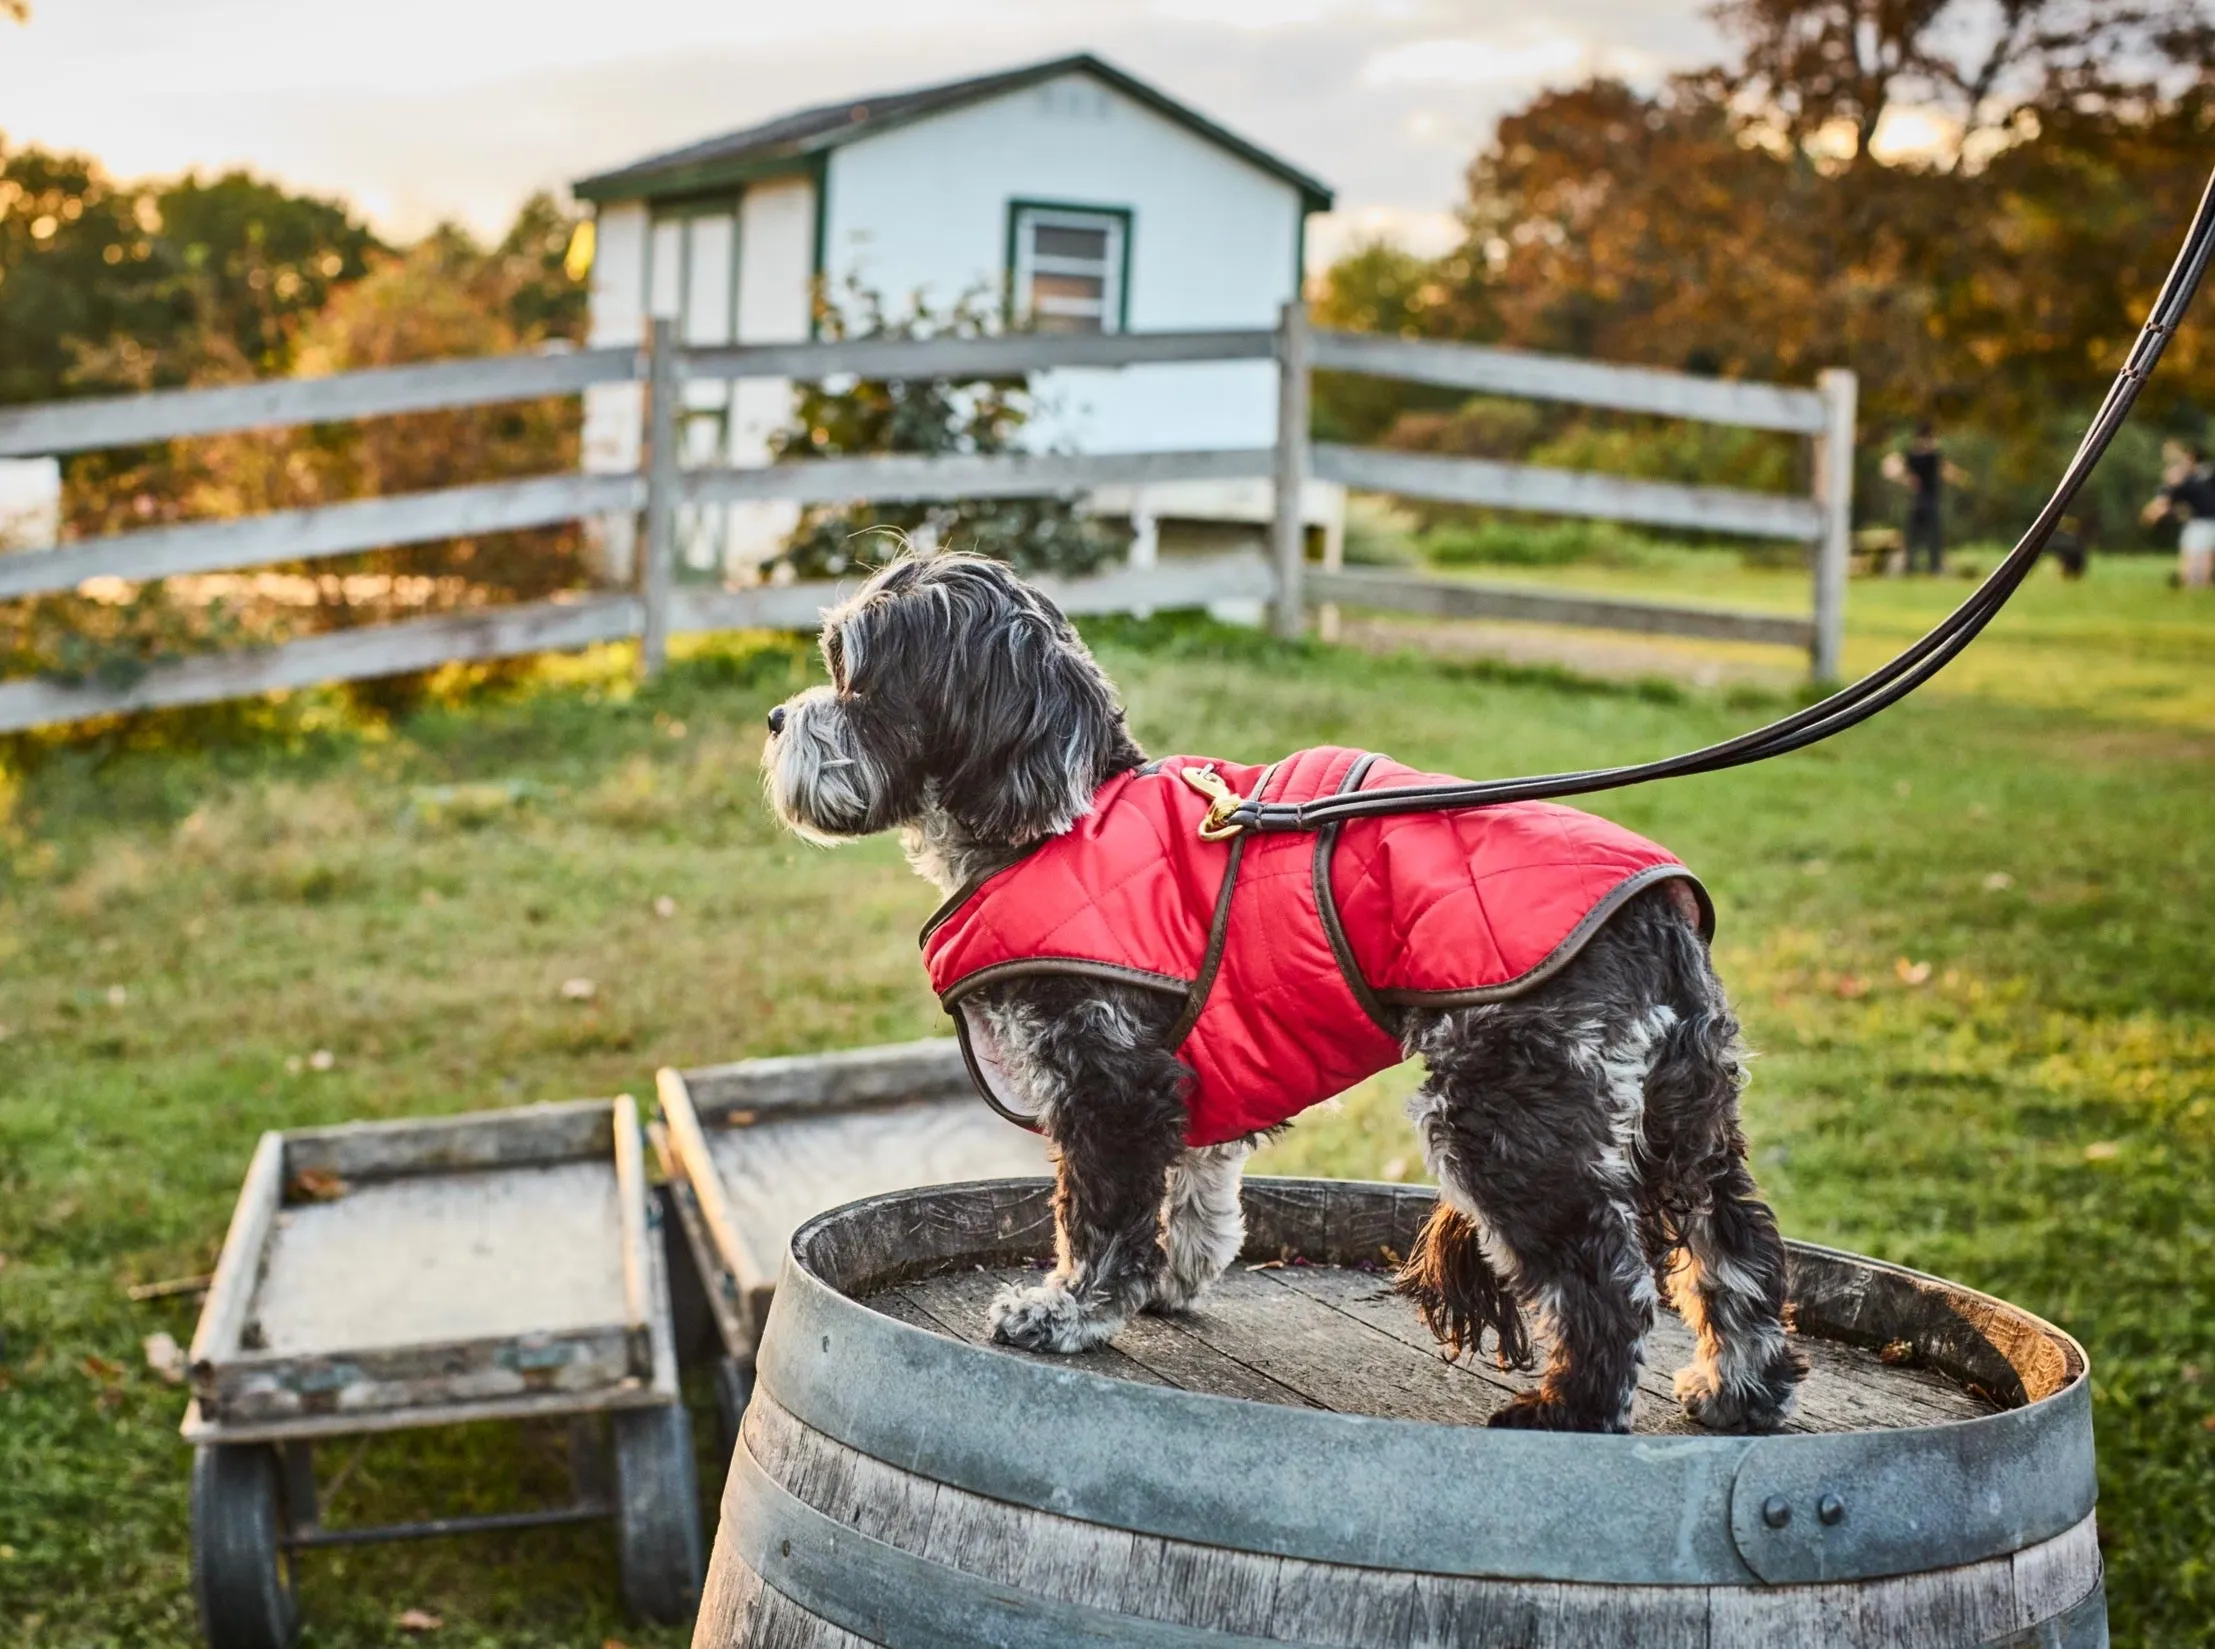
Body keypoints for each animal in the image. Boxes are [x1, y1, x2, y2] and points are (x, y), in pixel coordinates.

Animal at [761, 549, 1798, 1427]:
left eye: (851, 676)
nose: (773, 720)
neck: (1058, 818)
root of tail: (1655, 913)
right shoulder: (1196, 1070)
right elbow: (1199, 1188)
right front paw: (1175, 1278)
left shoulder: (1108, 1077)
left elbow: (1099, 1217)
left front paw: (1069, 1311)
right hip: (1685, 1108)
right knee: (1731, 1238)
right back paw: (1737, 1385)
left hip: (1513, 1111)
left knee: (1606, 1278)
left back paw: (1568, 1410)